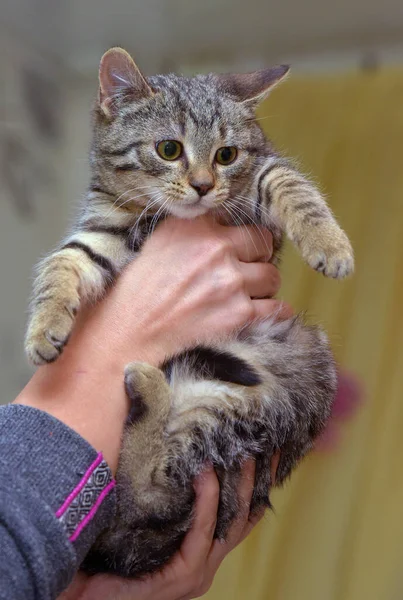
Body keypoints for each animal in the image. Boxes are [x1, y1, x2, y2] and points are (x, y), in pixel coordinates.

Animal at [25, 49, 354, 580]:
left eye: (227, 155)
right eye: (168, 149)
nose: (202, 186)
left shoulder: (255, 193)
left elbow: (288, 181)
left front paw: (329, 243)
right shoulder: (103, 230)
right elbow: (63, 263)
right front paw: (44, 328)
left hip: (279, 375)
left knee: (153, 491)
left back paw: (150, 392)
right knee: (147, 494)